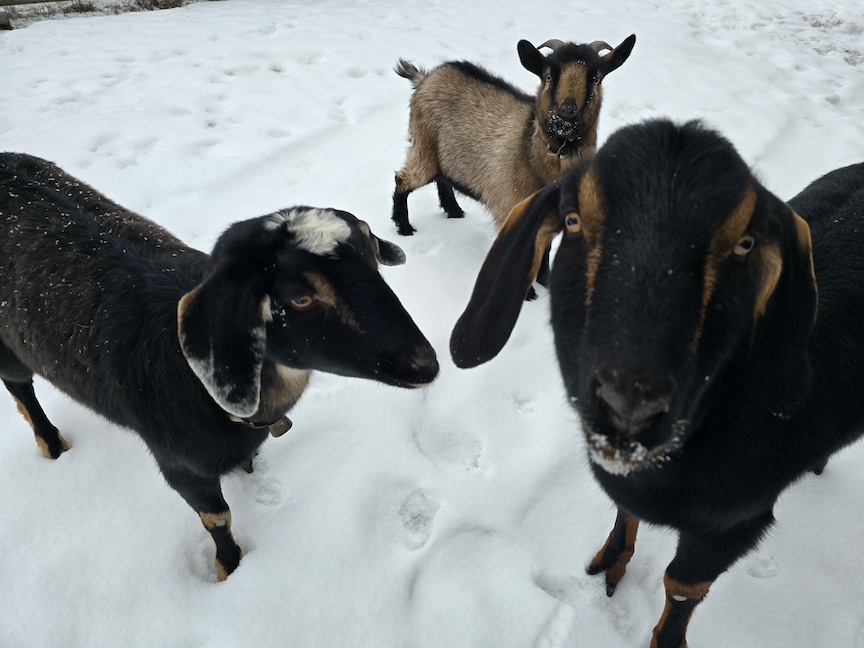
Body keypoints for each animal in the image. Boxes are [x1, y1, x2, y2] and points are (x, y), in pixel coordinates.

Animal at [0, 152, 439, 581]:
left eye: (372, 260)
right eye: (299, 298)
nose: (426, 364)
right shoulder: (179, 464)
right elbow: (218, 518)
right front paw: (230, 569)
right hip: (9, 349)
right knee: (20, 387)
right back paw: (52, 443)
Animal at [391, 35, 636, 287]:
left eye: (596, 78)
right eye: (548, 76)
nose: (566, 112)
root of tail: (425, 77)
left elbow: (544, 250)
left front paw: (544, 281)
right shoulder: (510, 208)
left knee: (442, 178)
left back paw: (454, 211)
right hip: (424, 145)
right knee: (403, 179)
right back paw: (405, 228)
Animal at [450, 119, 864, 647]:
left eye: (745, 244)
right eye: (573, 220)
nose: (629, 407)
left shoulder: (734, 524)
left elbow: (682, 586)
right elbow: (624, 514)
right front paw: (607, 565)